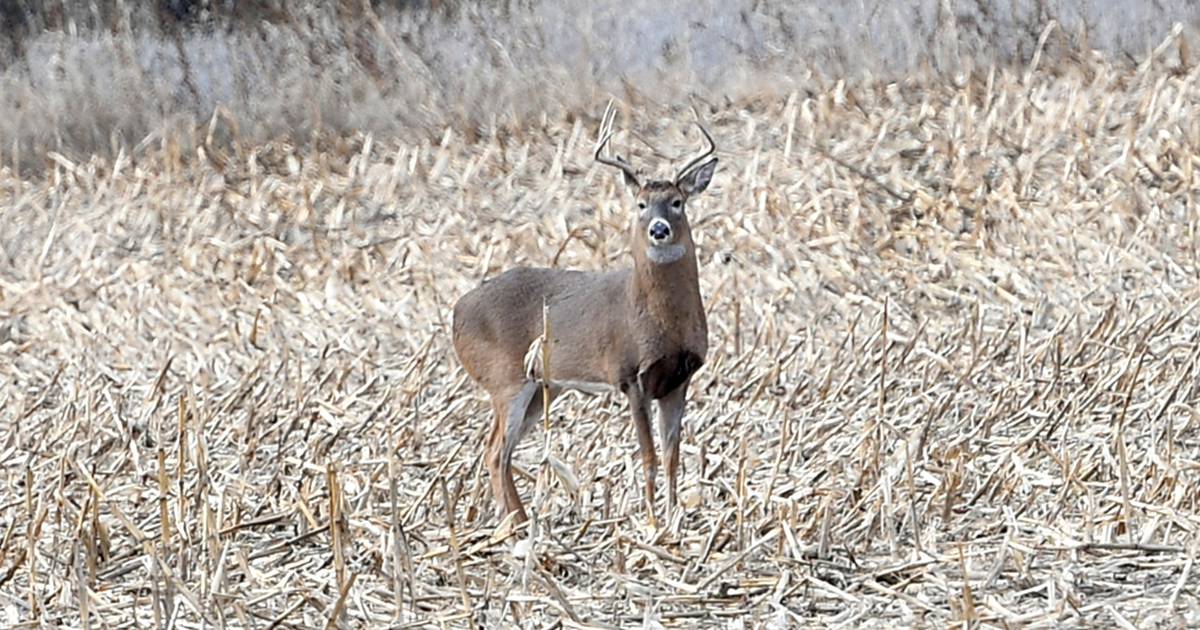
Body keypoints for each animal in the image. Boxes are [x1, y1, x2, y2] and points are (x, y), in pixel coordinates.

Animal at [451, 102, 717, 526]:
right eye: (641, 205)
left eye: (678, 202)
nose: (659, 230)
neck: (659, 323)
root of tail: (456, 311)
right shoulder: (629, 375)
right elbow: (648, 457)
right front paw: (651, 522)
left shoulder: (680, 377)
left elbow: (673, 456)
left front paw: (674, 518)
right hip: (504, 379)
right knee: (494, 450)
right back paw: (514, 526)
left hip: (544, 386)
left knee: (501, 451)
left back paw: (521, 522)